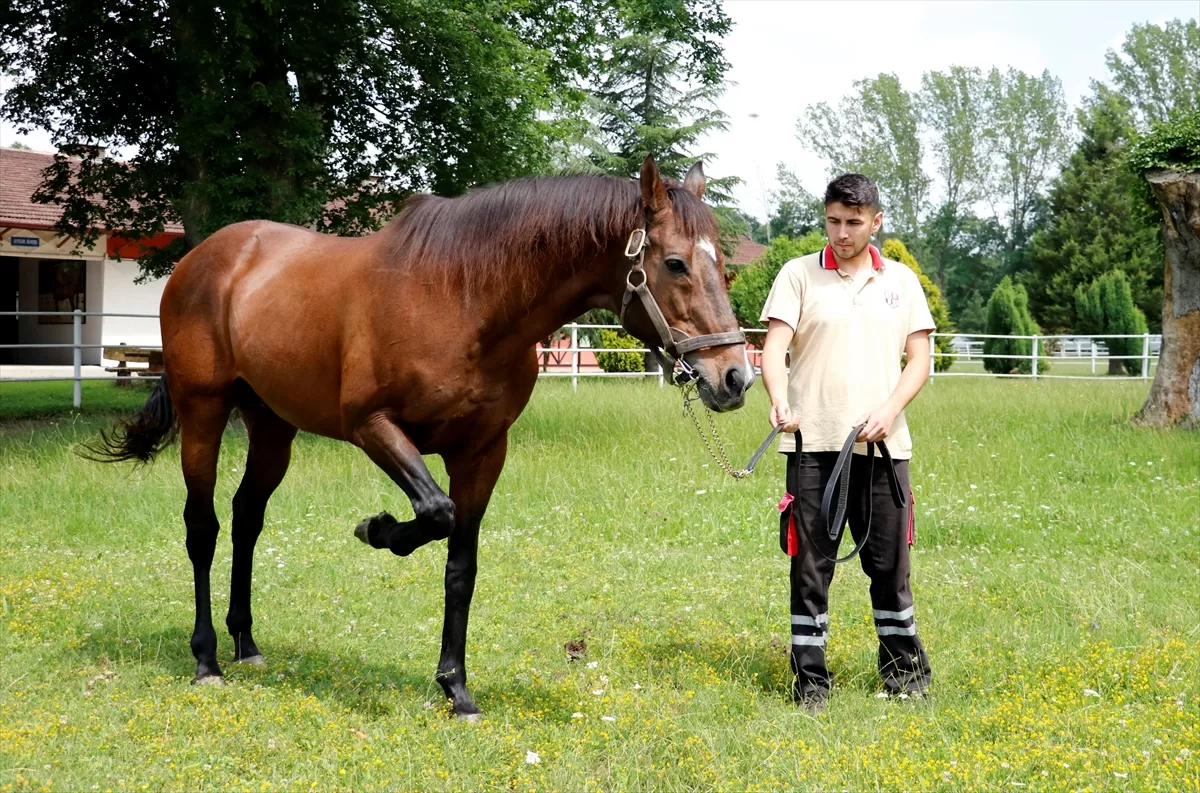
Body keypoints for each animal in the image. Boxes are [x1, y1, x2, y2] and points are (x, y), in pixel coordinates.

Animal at [91, 154, 748, 719]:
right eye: (675, 263)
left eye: (723, 266)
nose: (734, 377)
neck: (462, 300)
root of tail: (205, 256)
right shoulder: (372, 426)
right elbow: (435, 512)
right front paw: (378, 529)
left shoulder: (482, 452)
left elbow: (461, 564)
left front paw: (456, 689)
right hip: (204, 413)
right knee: (202, 528)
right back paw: (207, 659)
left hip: (273, 427)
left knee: (247, 517)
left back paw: (246, 643)